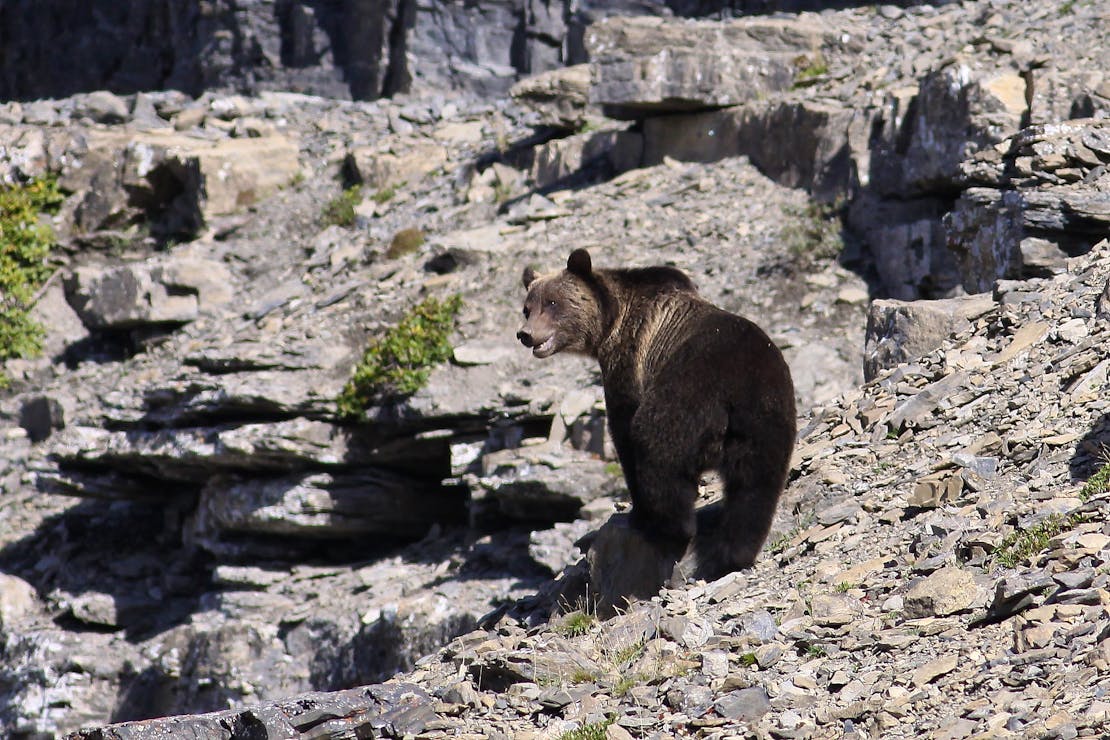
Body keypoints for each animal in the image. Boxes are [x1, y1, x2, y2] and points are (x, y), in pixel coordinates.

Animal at [519, 248, 799, 576]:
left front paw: (636, 512)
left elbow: (623, 428)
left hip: (685, 397)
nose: (526, 334)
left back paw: (666, 528)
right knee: (754, 489)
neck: (610, 323)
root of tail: (734, 391)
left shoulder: (629, 362)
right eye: (527, 308)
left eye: (553, 302)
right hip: (766, 418)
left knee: (657, 451)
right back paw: (734, 554)